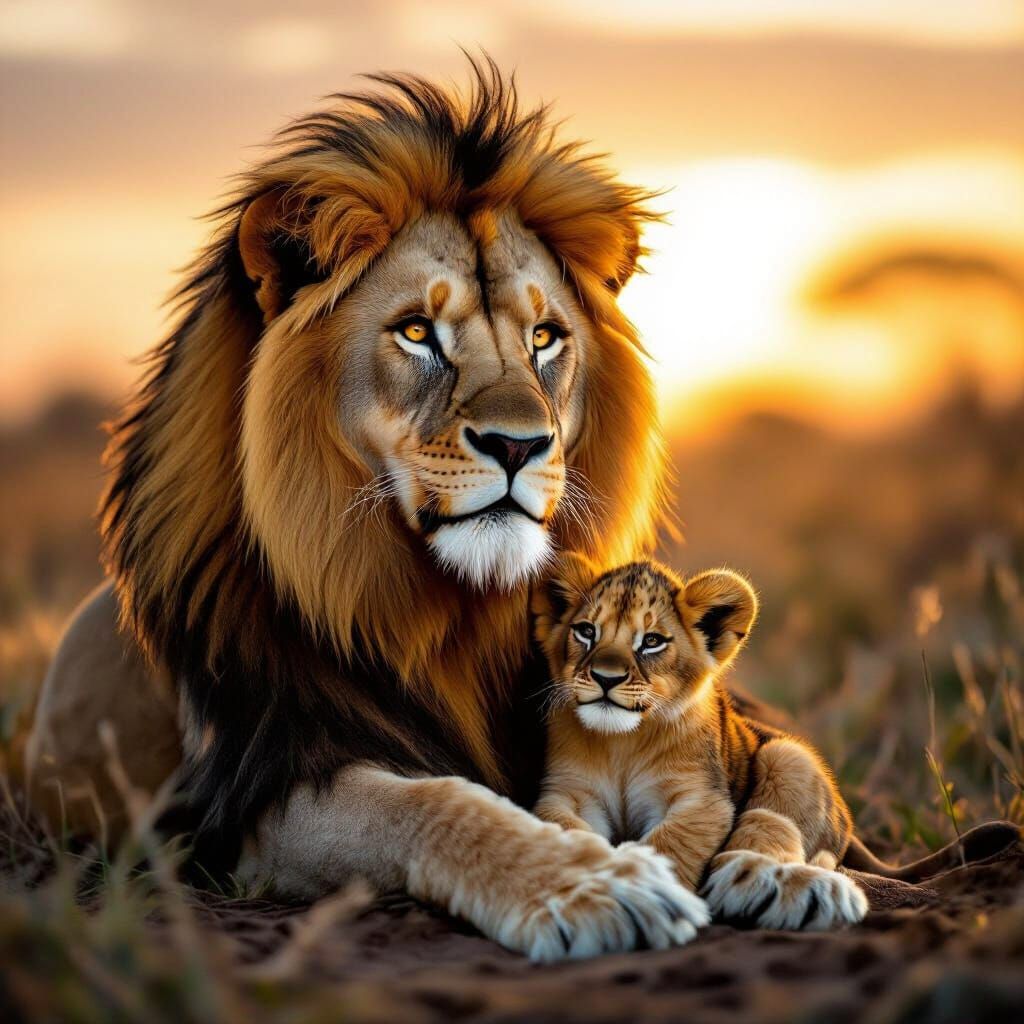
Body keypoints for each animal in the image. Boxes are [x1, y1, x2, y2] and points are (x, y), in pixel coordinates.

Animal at [532, 555, 868, 931]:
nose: (606, 678)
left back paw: (756, 884)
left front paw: (652, 888)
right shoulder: (567, 794)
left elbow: (670, 843)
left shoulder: (703, 799)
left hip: (787, 755)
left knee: (780, 827)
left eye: (652, 641)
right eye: (587, 631)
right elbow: (566, 833)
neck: (622, 743)